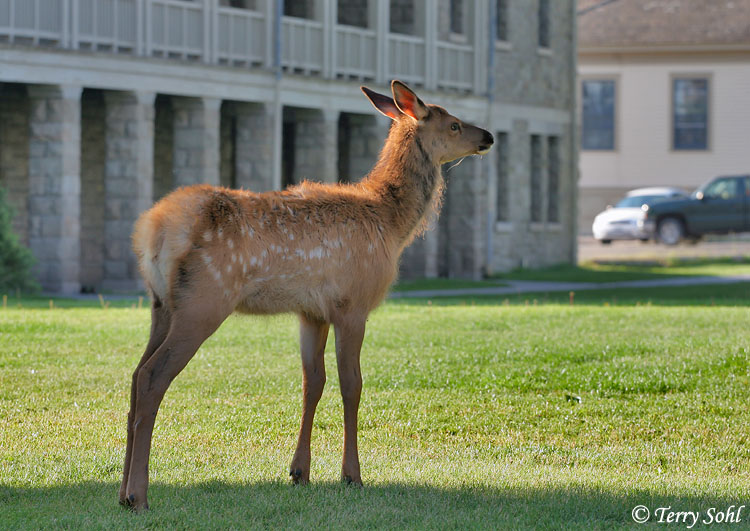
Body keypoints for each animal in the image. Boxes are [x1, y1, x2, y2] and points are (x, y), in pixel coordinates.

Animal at [119, 80, 493, 510]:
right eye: (454, 123)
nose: (488, 136)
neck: (390, 223)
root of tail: (151, 231)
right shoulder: (353, 304)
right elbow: (352, 384)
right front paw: (352, 475)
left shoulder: (311, 311)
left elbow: (312, 382)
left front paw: (300, 472)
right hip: (203, 301)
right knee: (152, 376)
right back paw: (139, 495)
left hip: (161, 305)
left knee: (135, 375)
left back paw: (121, 492)